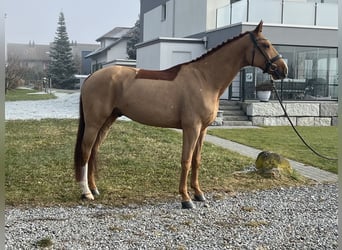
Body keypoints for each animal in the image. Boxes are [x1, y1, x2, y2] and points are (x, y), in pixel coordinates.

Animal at [75, 22, 288, 209]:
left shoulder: (202, 130)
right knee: (86, 151)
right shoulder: (191, 128)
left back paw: (94, 189)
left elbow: (196, 160)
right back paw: (86, 193)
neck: (205, 78)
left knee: (94, 151)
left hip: (107, 121)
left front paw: (199, 193)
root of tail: (91, 78)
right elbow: (185, 161)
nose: (283, 69)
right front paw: (186, 199)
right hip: (94, 123)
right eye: (265, 44)